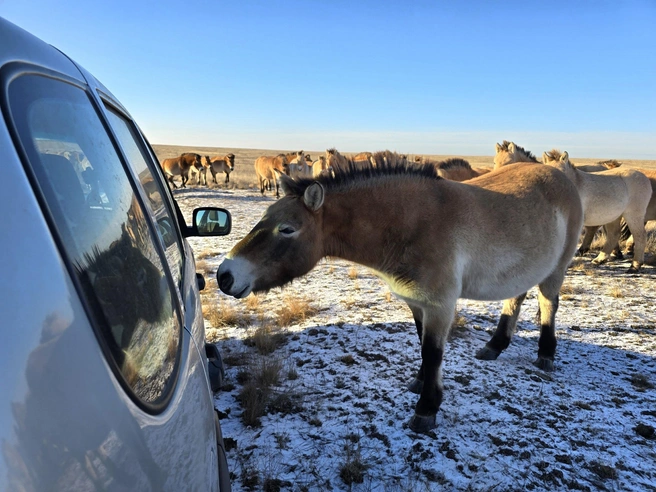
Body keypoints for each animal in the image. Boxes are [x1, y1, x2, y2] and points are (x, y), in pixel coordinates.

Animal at [217, 162, 584, 433]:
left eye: (287, 229)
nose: (225, 275)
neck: (411, 225)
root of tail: (560, 176)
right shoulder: (418, 304)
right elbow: (422, 346)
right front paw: (420, 383)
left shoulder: (440, 305)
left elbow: (433, 353)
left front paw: (426, 410)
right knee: (515, 299)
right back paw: (494, 346)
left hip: (556, 269)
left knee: (548, 304)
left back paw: (546, 354)